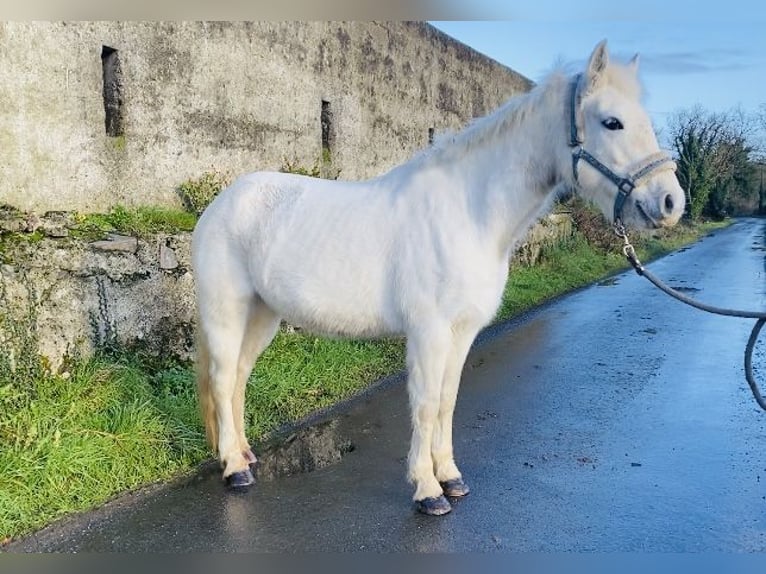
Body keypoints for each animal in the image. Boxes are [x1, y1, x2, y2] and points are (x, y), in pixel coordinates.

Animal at [195, 40, 688, 516]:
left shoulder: (463, 331)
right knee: (222, 378)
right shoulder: (428, 331)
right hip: (227, 310)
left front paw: (450, 477)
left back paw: (243, 454)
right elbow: (426, 404)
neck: (469, 214)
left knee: (238, 377)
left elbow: (448, 401)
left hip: (263, 314)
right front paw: (427, 490)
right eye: (612, 122)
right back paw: (235, 469)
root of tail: (222, 202)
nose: (670, 202)